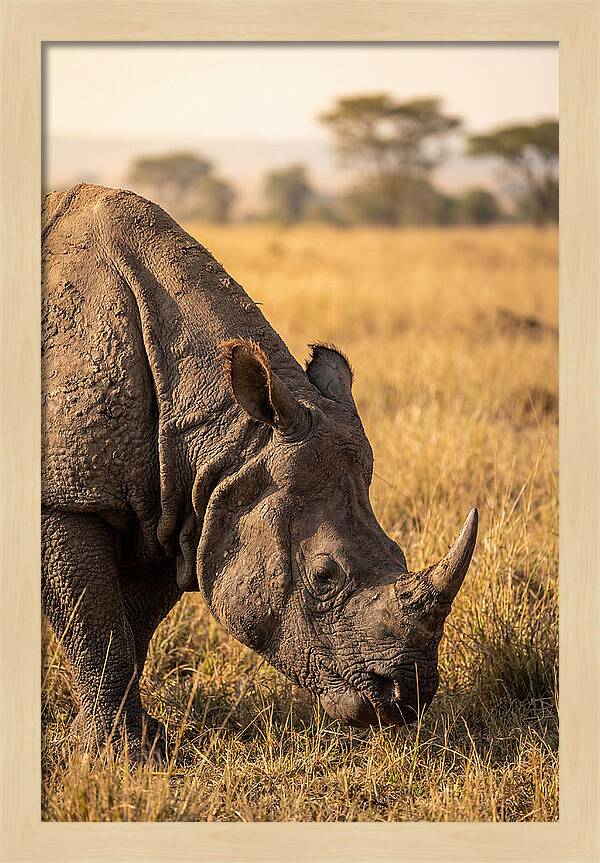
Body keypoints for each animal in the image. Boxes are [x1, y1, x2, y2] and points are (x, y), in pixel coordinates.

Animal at [42, 183, 477, 757]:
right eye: (323, 576)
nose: (407, 698)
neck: (227, 437)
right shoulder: (69, 498)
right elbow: (98, 633)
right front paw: (120, 756)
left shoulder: (177, 507)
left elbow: (129, 629)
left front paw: (137, 744)